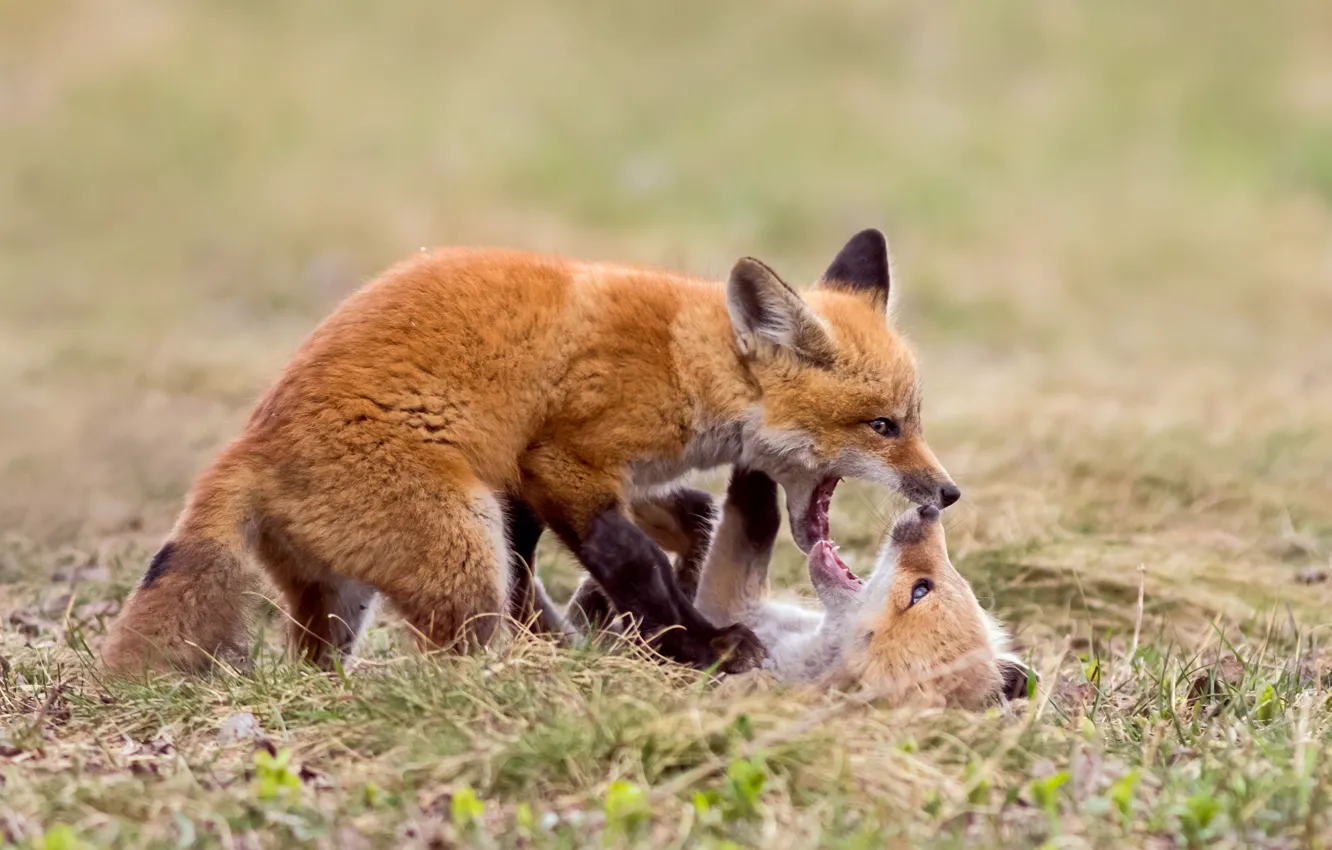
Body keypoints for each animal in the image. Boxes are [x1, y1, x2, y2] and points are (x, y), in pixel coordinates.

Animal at [102, 229, 960, 676]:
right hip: (459, 545)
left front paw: (637, 616)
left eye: (913, 418)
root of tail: (245, 446)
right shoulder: (559, 459)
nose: (947, 493)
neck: (687, 365)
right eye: (884, 426)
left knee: (321, 653)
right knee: (461, 650)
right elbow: (631, 558)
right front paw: (693, 641)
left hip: (351, 590)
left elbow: (693, 516)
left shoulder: (589, 476)